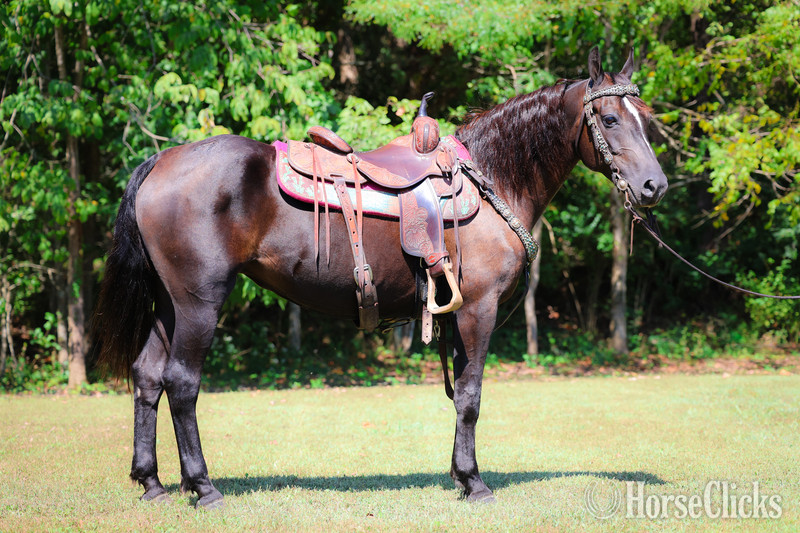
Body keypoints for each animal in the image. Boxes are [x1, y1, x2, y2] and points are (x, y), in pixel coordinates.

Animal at [92, 47, 668, 508]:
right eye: (610, 119)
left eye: (646, 118)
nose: (654, 186)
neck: (491, 180)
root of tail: (162, 160)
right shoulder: (477, 309)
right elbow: (471, 397)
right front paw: (475, 482)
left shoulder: (453, 314)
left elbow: (459, 394)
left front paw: (459, 476)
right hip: (198, 303)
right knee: (181, 382)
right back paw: (203, 487)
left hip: (169, 306)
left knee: (147, 377)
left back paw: (152, 483)